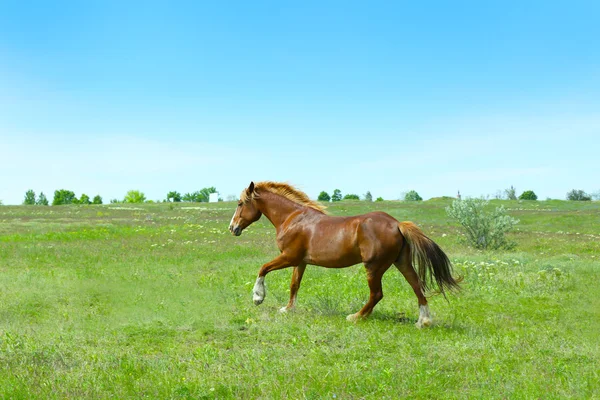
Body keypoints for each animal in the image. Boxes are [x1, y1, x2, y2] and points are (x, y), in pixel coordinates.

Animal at [229, 181, 460, 328]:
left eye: (240, 203)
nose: (232, 228)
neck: (293, 218)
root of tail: (396, 223)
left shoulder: (289, 257)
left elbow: (263, 268)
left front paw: (258, 297)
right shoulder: (300, 262)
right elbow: (294, 285)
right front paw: (287, 309)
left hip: (374, 267)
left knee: (377, 294)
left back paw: (356, 317)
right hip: (401, 262)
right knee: (416, 285)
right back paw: (423, 321)